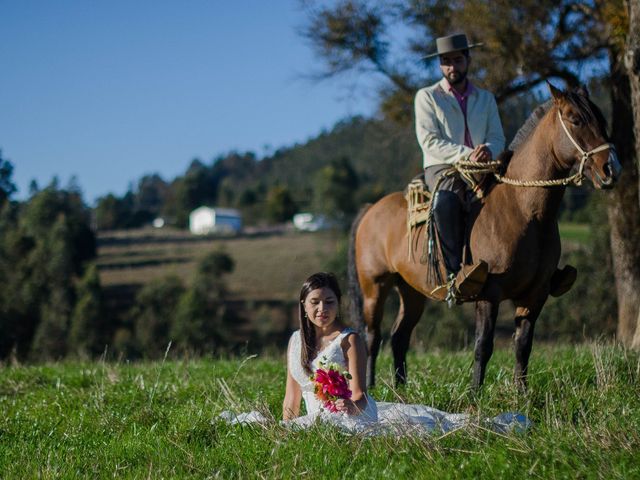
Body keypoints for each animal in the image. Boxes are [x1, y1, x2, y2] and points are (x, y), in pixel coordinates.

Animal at [348, 82, 624, 390]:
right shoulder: (489, 293)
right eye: (575, 120)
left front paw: (522, 392)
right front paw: (474, 393)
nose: (611, 168)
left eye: (601, 120)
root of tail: (371, 209)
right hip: (375, 286)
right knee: (373, 337)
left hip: (411, 289)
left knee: (399, 336)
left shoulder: (535, 294)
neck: (524, 211)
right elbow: (483, 345)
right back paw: (369, 388)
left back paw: (400, 387)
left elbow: (523, 345)